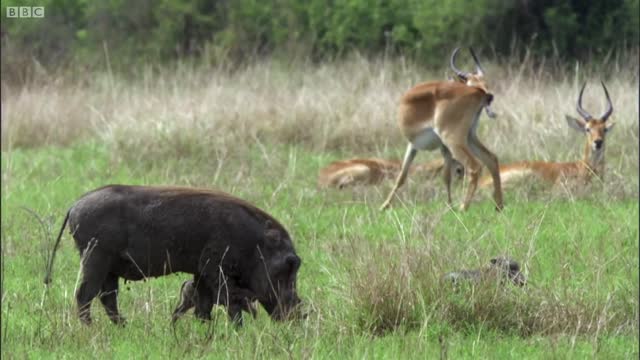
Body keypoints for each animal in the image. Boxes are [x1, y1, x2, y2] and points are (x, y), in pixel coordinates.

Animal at [378, 47, 502, 211]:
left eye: (485, 82)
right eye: (473, 81)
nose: (489, 96)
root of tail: (477, 95)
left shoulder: (413, 144)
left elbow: (402, 175)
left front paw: (383, 206)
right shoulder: (441, 148)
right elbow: (444, 176)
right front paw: (449, 205)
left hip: (453, 139)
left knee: (475, 166)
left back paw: (463, 207)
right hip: (469, 137)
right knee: (491, 159)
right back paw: (499, 205)